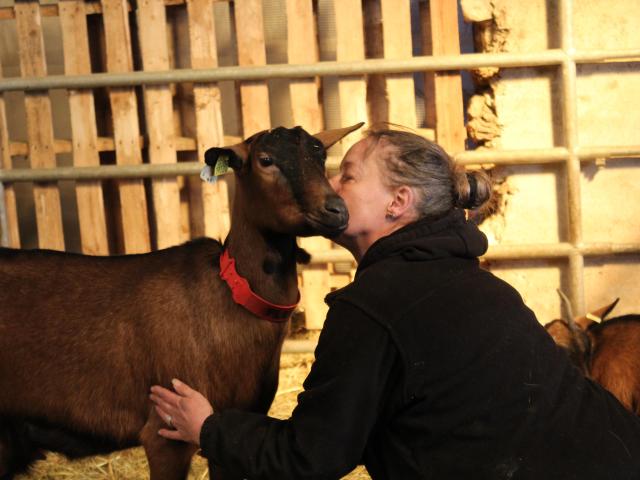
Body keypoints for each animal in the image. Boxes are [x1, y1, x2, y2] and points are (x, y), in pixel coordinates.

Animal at [0, 124, 360, 480]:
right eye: (265, 160)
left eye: (321, 155)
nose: (337, 210)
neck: (232, 295)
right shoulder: (165, 430)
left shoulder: (227, 428)